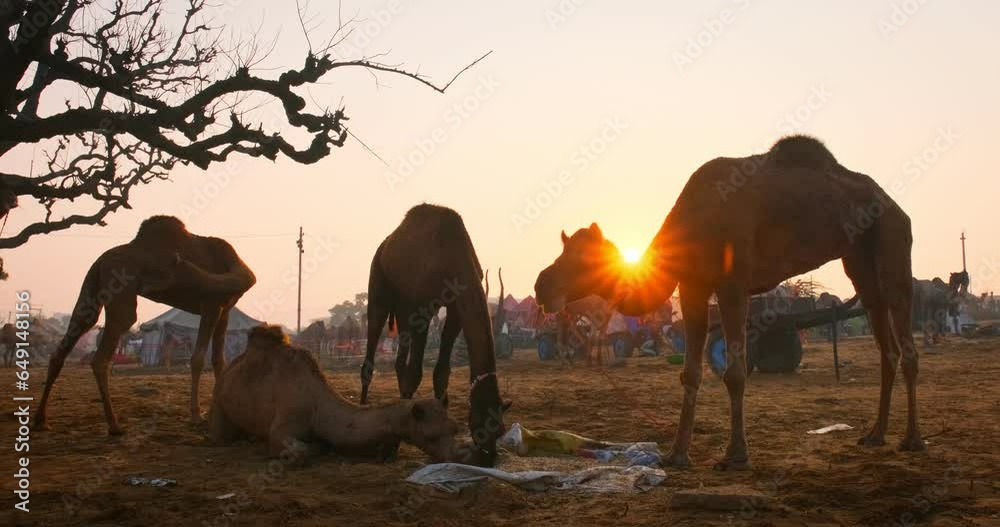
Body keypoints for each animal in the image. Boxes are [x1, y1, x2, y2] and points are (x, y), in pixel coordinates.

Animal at [36, 215, 256, 435]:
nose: (175, 259)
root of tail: (99, 262)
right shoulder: (211, 305)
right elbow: (198, 360)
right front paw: (196, 416)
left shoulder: (224, 309)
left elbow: (219, 360)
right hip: (120, 291)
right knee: (102, 355)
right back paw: (114, 425)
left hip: (91, 289)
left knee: (68, 341)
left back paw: (41, 421)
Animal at [210, 325, 458, 463]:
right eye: (431, 435)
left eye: (454, 429)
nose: (455, 456)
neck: (317, 407)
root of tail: (232, 365)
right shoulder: (283, 425)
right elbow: (298, 451)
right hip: (219, 398)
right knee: (221, 434)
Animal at [360, 204, 507, 467]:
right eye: (476, 426)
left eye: (500, 430)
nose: (487, 458)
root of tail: (386, 245)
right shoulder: (423, 304)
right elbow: (415, 373)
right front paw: (389, 447)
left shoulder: (455, 309)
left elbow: (441, 372)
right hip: (379, 283)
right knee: (372, 345)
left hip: (402, 308)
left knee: (400, 359)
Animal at [534, 135, 923, 470]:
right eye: (564, 251)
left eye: (582, 258)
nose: (541, 286)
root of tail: (894, 204)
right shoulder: (692, 286)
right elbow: (690, 373)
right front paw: (677, 454)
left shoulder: (733, 284)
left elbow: (735, 372)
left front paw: (735, 455)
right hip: (859, 256)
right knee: (883, 334)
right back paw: (875, 434)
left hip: (893, 236)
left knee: (904, 334)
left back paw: (912, 440)